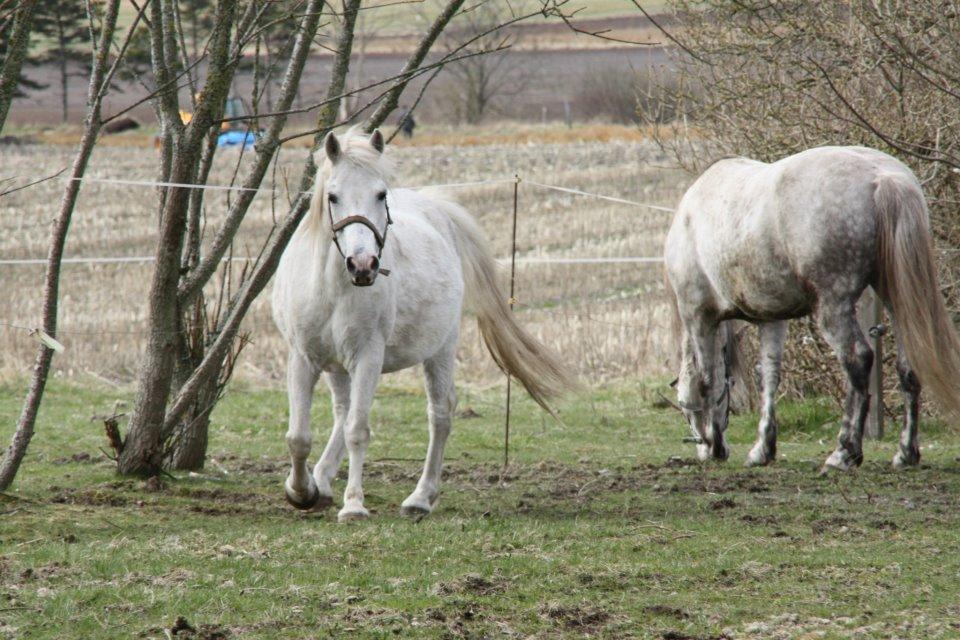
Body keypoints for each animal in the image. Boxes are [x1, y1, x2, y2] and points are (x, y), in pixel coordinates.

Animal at [270, 129, 568, 520]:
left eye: (381, 194)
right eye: (332, 196)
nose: (363, 265)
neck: (333, 286)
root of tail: (436, 208)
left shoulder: (368, 356)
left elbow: (357, 431)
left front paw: (354, 505)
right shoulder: (304, 358)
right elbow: (298, 437)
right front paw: (302, 491)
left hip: (440, 349)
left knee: (439, 414)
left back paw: (420, 498)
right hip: (338, 365)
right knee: (342, 410)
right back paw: (322, 481)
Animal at [664, 148, 960, 472]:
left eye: (683, 407)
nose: (702, 447)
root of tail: (883, 177)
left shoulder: (698, 316)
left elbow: (707, 379)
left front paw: (716, 442)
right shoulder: (771, 320)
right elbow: (769, 376)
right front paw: (762, 449)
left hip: (833, 307)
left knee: (857, 359)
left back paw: (844, 452)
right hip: (894, 299)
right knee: (908, 365)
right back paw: (906, 453)